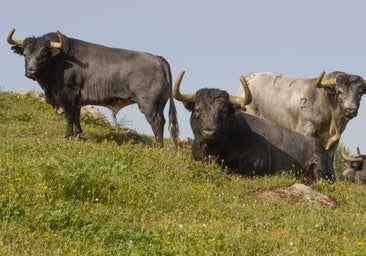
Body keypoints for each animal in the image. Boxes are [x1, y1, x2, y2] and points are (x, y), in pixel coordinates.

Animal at [7, 28, 179, 147]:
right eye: (25, 54)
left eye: (44, 55)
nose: (31, 71)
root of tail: (158, 58)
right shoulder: (77, 99)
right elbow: (77, 117)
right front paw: (78, 135)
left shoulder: (69, 93)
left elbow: (69, 116)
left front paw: (68, 136)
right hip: (160, 104)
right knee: (163, 121)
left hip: (149, 103)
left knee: (157, 122)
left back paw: (158, 147)